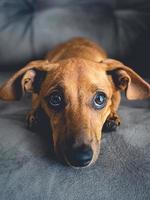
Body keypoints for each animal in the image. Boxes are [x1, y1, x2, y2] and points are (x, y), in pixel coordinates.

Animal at [0, 37, 150, 167]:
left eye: (100, 99)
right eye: (55, 99)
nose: (80, 158)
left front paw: (112, 116)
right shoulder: (37, 96)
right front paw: (37, 115)